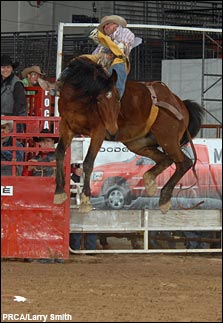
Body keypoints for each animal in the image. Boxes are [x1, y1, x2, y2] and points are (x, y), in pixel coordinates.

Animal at [54, 57, 204, 214]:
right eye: (99, 99)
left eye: (118, 99)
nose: (112, 131)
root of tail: (180, 103)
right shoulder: (66, 127)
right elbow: (59, 153)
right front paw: (59, 192)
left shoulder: (98, 131)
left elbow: (88, 162)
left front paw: (85, 200)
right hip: (138, 143)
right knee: (166, 159)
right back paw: (150, 182)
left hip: (168, 139)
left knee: (184, 162)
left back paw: (164, 198)